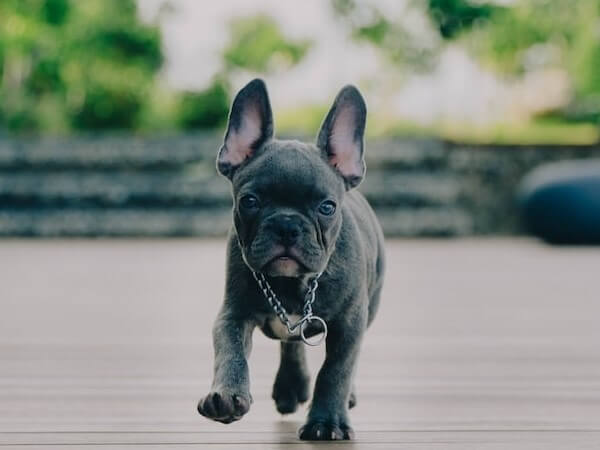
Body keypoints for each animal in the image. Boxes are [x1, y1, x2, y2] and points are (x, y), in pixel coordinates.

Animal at [197, 79, 384, 442]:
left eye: (327, 207)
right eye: (250, 201)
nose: (286, 224)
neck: (291, 285)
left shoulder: (350, 321)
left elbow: (336, 370)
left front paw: (327, 422)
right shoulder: (232, 314)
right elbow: (230, 352)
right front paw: (226, 395)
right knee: (292, 343)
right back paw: (290, 386)